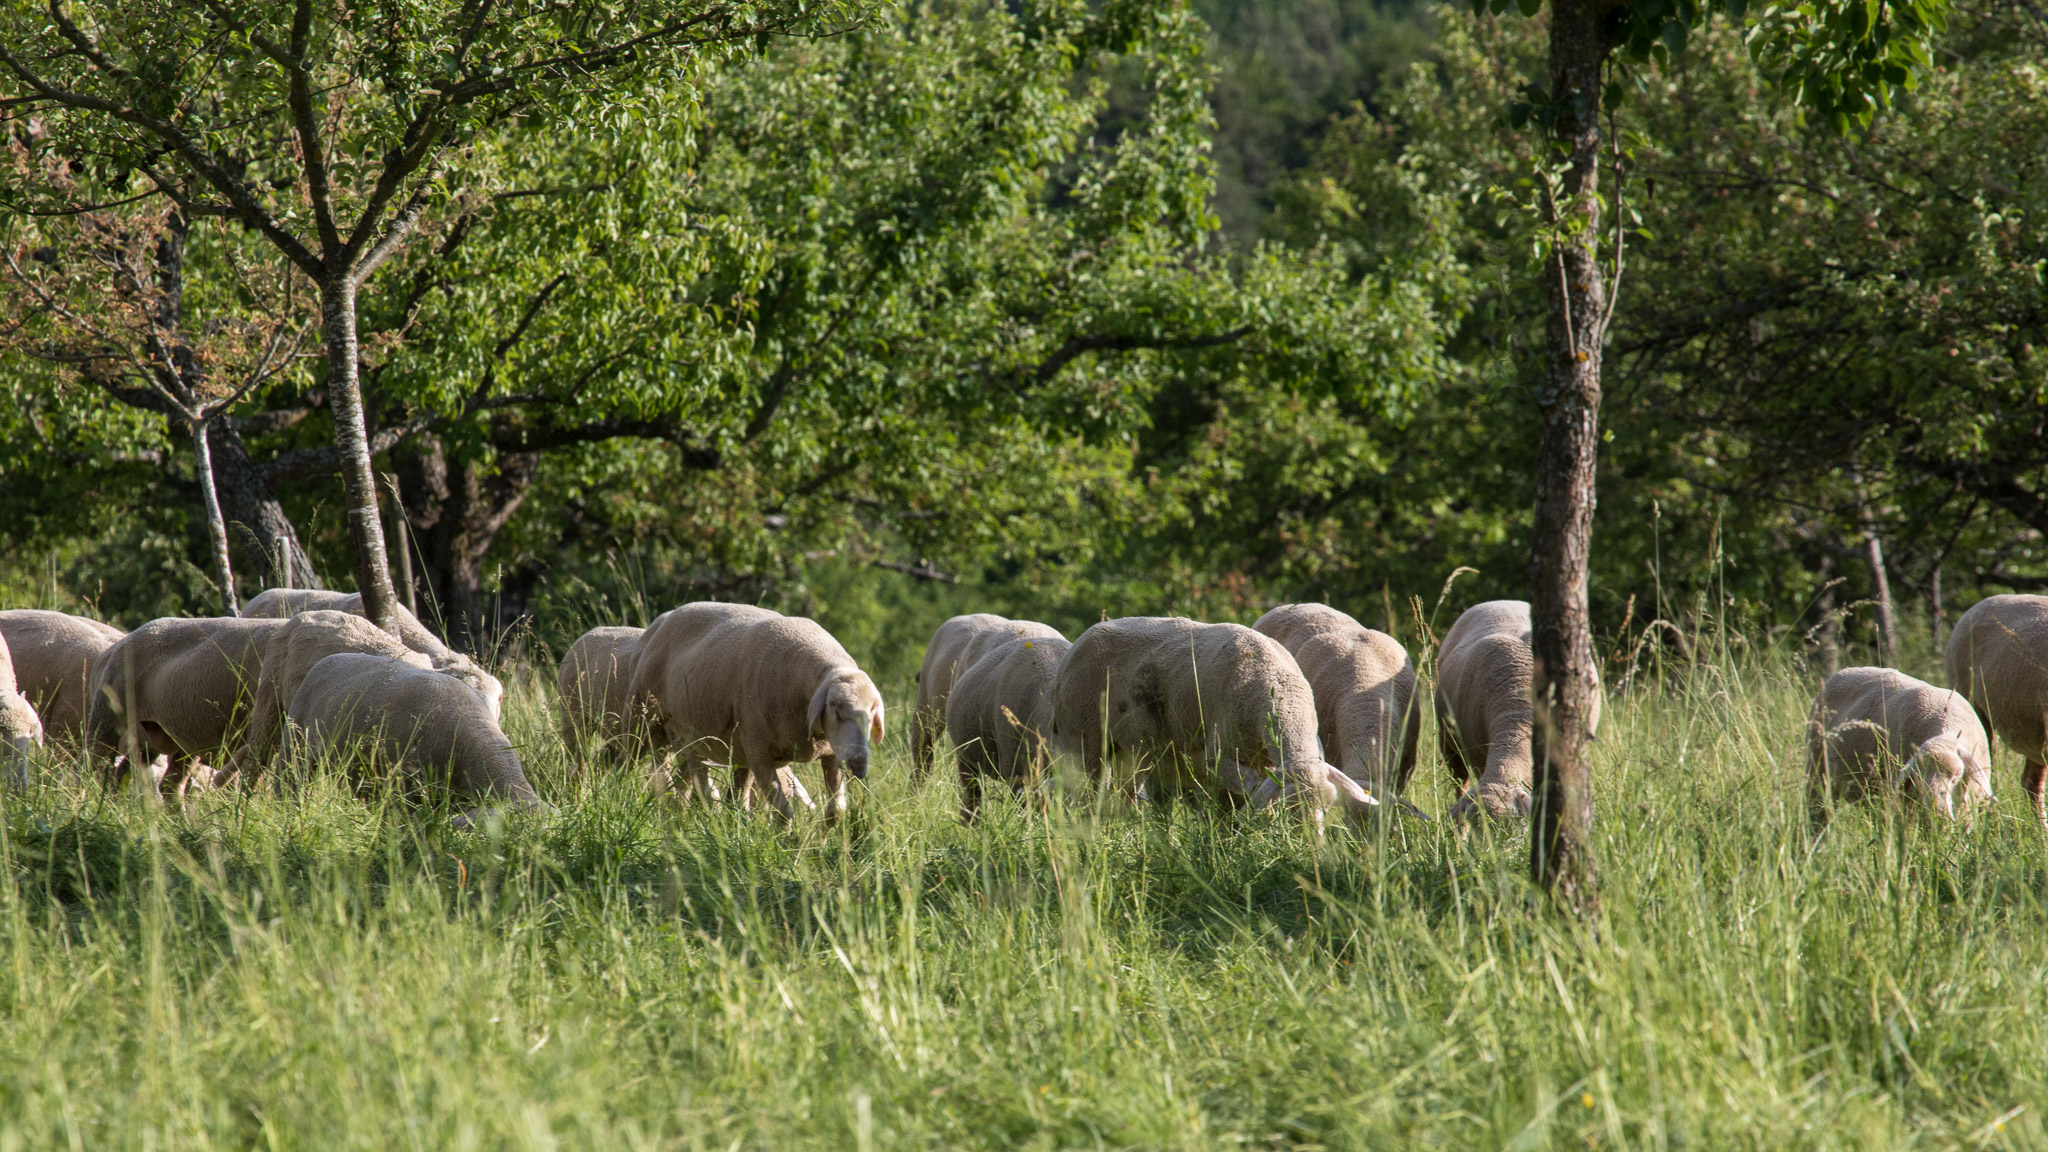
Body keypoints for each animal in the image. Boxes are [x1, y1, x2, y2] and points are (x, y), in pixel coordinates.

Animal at [624, 602, 884, 819]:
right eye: (835, 709)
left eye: (872, 714)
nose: (859, 763)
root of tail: (665, 617)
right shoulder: (760, 755)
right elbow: (783, 813)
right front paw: (789, 845)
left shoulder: (830, 753)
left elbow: (836, 810)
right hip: (642, 719)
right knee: (623, 761)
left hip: (699, 740)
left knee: (694, 783)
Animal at [1048, 616, 1377, 829]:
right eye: (1291, 806)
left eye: (1326, 806)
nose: (1312, 844)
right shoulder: (1218, 758)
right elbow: (1251, 789)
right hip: (1084, 742)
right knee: (1086, 799)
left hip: (1132, 755)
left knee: (1122, 799)